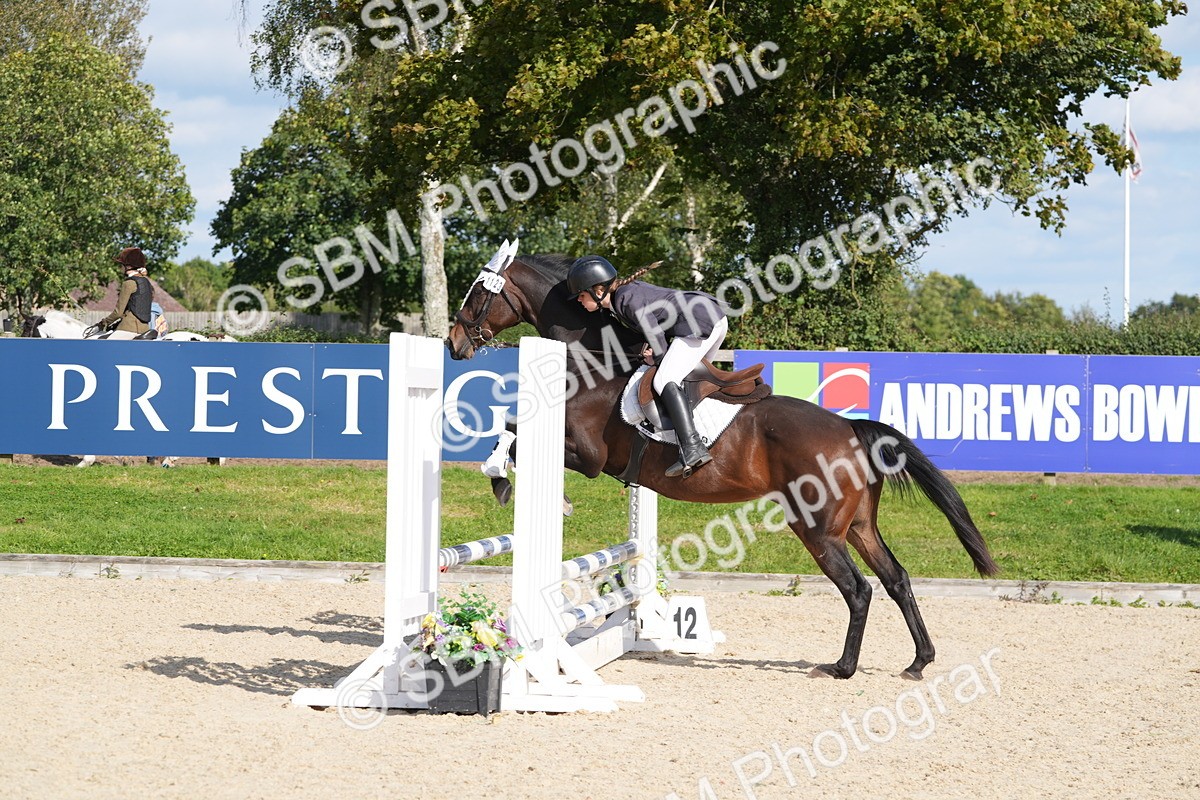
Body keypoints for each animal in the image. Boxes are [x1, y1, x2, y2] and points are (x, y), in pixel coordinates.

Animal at [446, 252, 999, 680]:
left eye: (476, 292)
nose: (454, 343)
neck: (594, 358)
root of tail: (849, 428)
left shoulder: (588, 455)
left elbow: (514, 432)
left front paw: (503, 479)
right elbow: (512, 426)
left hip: (818, 529)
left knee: (858, 589)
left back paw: (842, 667)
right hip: (859, 524)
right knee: (896, 578)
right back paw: (919, 661)